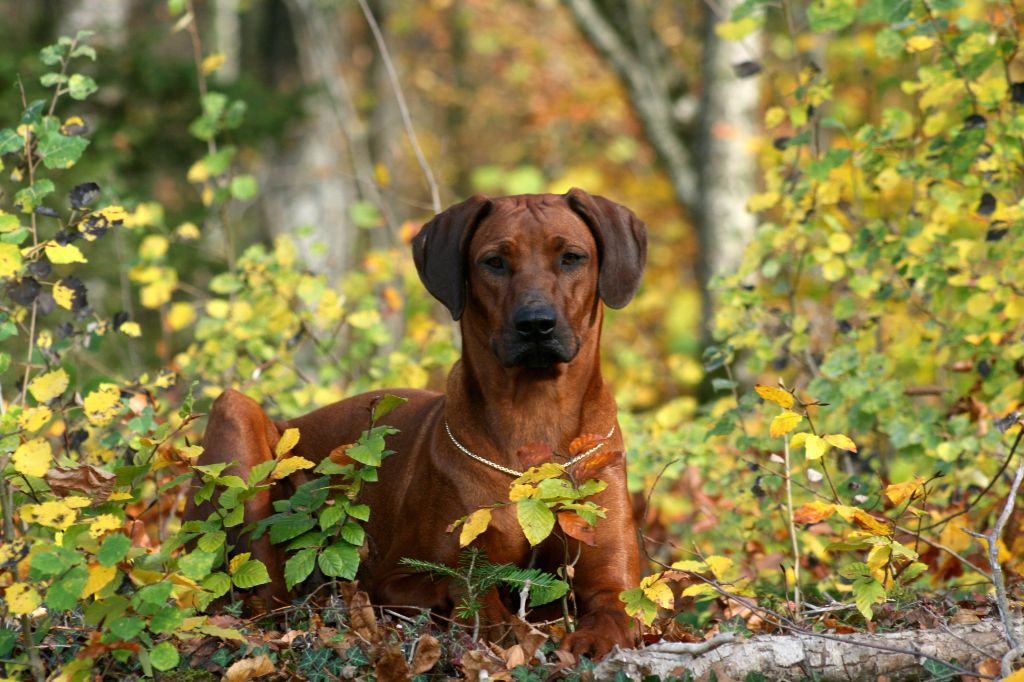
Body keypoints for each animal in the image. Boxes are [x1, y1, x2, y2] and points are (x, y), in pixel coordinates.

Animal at [183, 187, 643, 659]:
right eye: (494, 261)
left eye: (571, 257)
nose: (536, 324)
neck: (535, 417)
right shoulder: (397, 577)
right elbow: (466, 587)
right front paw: (500, 623)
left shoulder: (613, 582)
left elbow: (615, 610)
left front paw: (589, 641)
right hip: (235, 412)